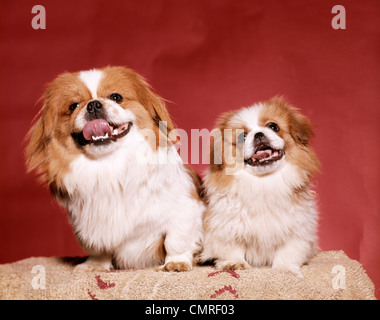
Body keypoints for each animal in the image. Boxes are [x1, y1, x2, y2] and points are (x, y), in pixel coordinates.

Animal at [25, 66, 205, 272]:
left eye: (116, 97)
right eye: (73, 106)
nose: (93, 105)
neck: (110, 163)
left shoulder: (186, 210)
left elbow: (176, 241)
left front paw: (176, 263)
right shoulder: (90, 226)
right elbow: (99, 248)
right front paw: (95, 265)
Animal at [200, 97, 320, 278]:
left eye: (273, 126)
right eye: (242, 136)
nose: (258, 134)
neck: (264, 183)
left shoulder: (297, 228)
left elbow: (289, 252)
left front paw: (284, 269)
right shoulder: (227, 227)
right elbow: (231, 248)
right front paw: (234, 263)